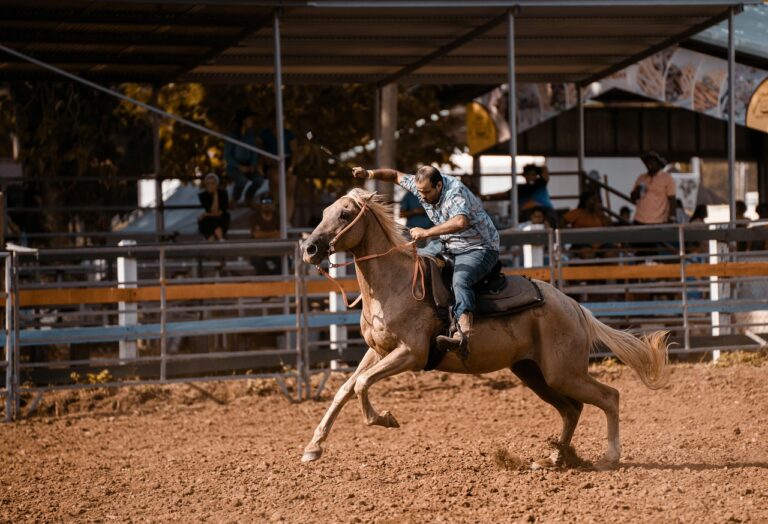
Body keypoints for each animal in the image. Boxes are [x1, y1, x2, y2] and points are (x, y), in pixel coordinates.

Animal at [300, 188, 669, 469]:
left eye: (345, 214)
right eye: (325, 211)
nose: (310, 248)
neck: (396, 284)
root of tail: (575, 307)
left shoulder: (410, 353)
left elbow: (362, 384)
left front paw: (386, 419)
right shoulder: (377, 350)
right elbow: (345, 389)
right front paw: (313, 447)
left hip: (564, 373)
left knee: (609, 397)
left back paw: (609, 457)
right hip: (534, 373)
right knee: (572, 409)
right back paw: (553, 458)